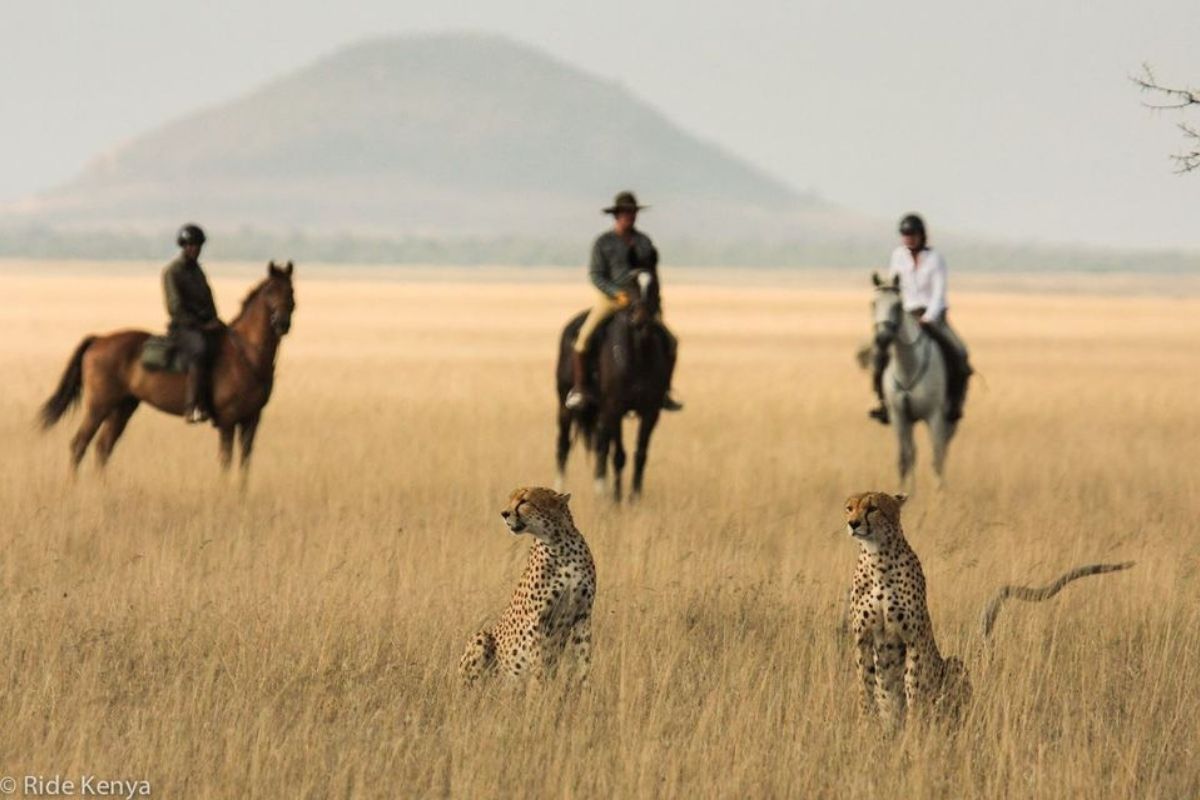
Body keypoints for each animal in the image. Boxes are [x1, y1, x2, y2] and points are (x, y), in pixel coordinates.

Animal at [39, 260, 296, 479]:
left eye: (291, 292)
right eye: (271, 290)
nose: (282, 323)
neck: (247, 353)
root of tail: (99, 339)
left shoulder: (252, 419)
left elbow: (245, 464)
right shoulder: (228, 420)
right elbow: (226, 460)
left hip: (123, 407)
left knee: (103, 448)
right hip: (98, 405)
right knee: (79, 445)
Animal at [555, 271, 671, 502]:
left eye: (655, 284)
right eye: (630, 286)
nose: (641, 318)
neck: (638, 355)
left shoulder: (650, 411)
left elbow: (640, 454)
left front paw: (635, 498)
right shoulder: (615, 408)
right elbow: (619, 456)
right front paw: (617, 500)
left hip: (600, 413)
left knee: (601, 445)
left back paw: (602, 488)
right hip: (565, 403)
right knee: (564, 444)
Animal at [871, 272, 956, 491]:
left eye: (897, 305)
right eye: (873, 304)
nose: (882, 339)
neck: (908, 367)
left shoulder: (934, 416)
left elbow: (937, 459)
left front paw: (940, 495)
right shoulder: (900, 416)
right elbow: (905, 458)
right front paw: (905, 492)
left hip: (949, 419)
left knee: (943, 450)